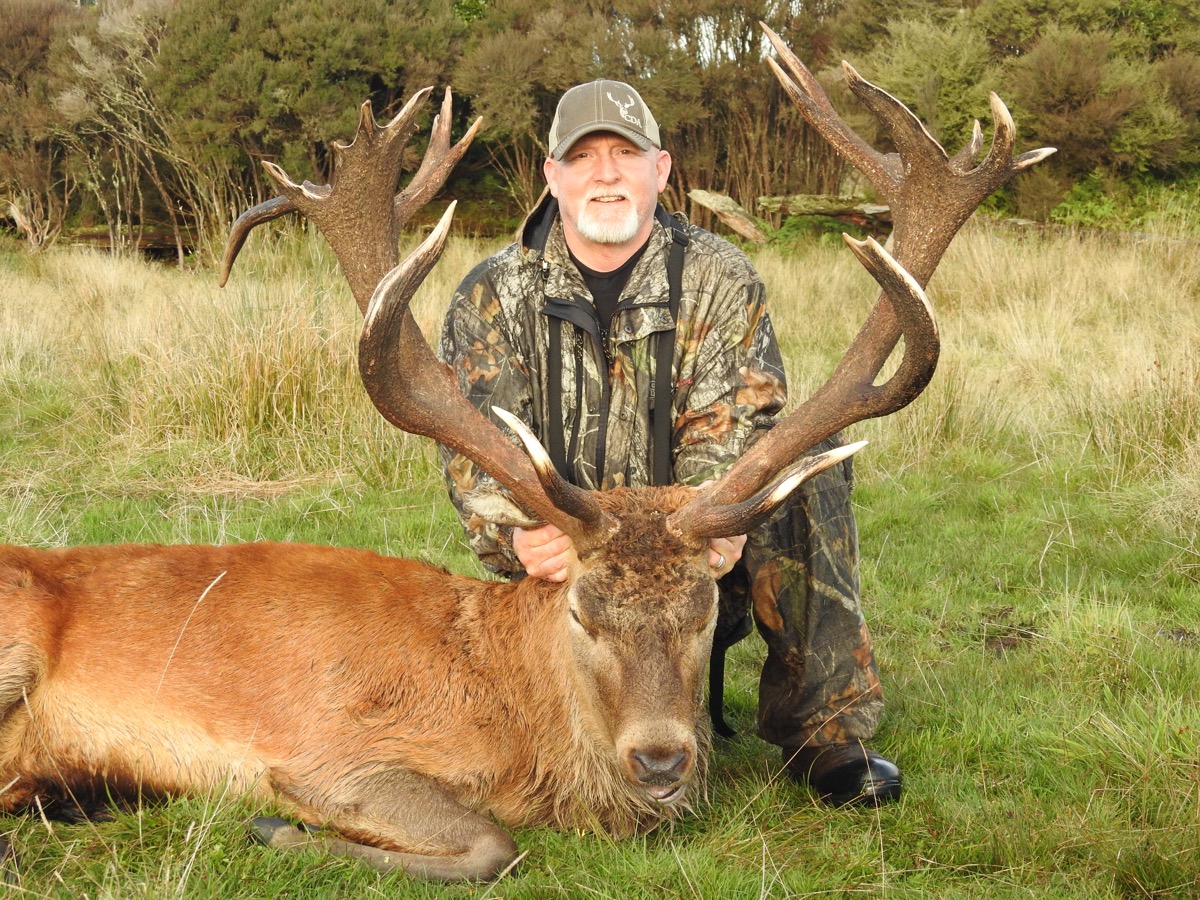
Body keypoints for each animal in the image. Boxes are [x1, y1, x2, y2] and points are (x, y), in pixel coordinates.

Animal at [0, 29, 1053, 883]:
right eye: (583, 611)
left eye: (705, 610)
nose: (662, 760)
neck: (510, 719)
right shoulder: (325, 753)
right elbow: (489, 845)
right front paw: (276, 832)